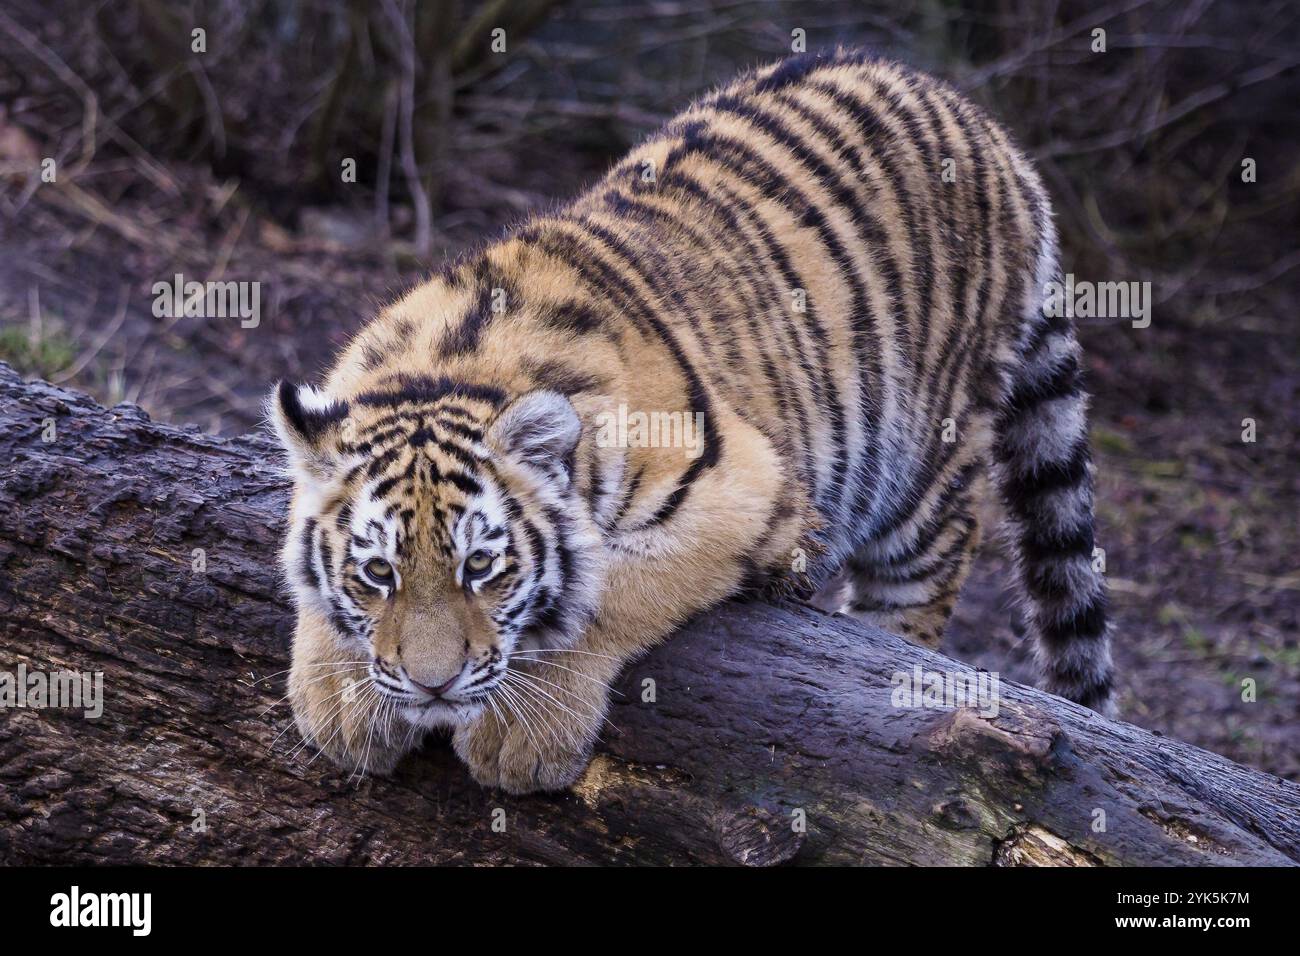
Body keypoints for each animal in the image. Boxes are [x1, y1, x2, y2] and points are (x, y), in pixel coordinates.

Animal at [269, 48, 1112, 790]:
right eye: (378, 572)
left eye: (482, 566)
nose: (434, 686)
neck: (451, 365)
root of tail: (989, 128)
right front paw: (340, 702)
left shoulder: (739, 481)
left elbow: (607, 590)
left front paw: (521, 738)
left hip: (927, 475)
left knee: (921, 591)